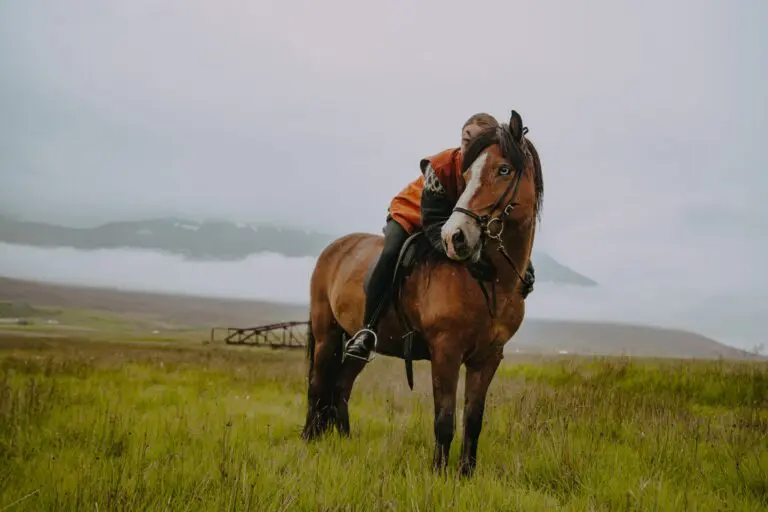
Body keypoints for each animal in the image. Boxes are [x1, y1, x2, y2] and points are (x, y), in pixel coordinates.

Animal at [300, 110, 544, 476]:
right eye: (467, 174)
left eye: (504, 169)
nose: (456, 237)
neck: (489, 281)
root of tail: (335, 249)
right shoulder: (445, 351)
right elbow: (444, 420)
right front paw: (440, 474)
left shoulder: (488, 357)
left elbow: (473, 421)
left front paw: (466, 474)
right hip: (326, 334)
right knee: (318, 386)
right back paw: (309, 439)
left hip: (354, 344)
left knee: (341, 386)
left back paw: (343, 440)